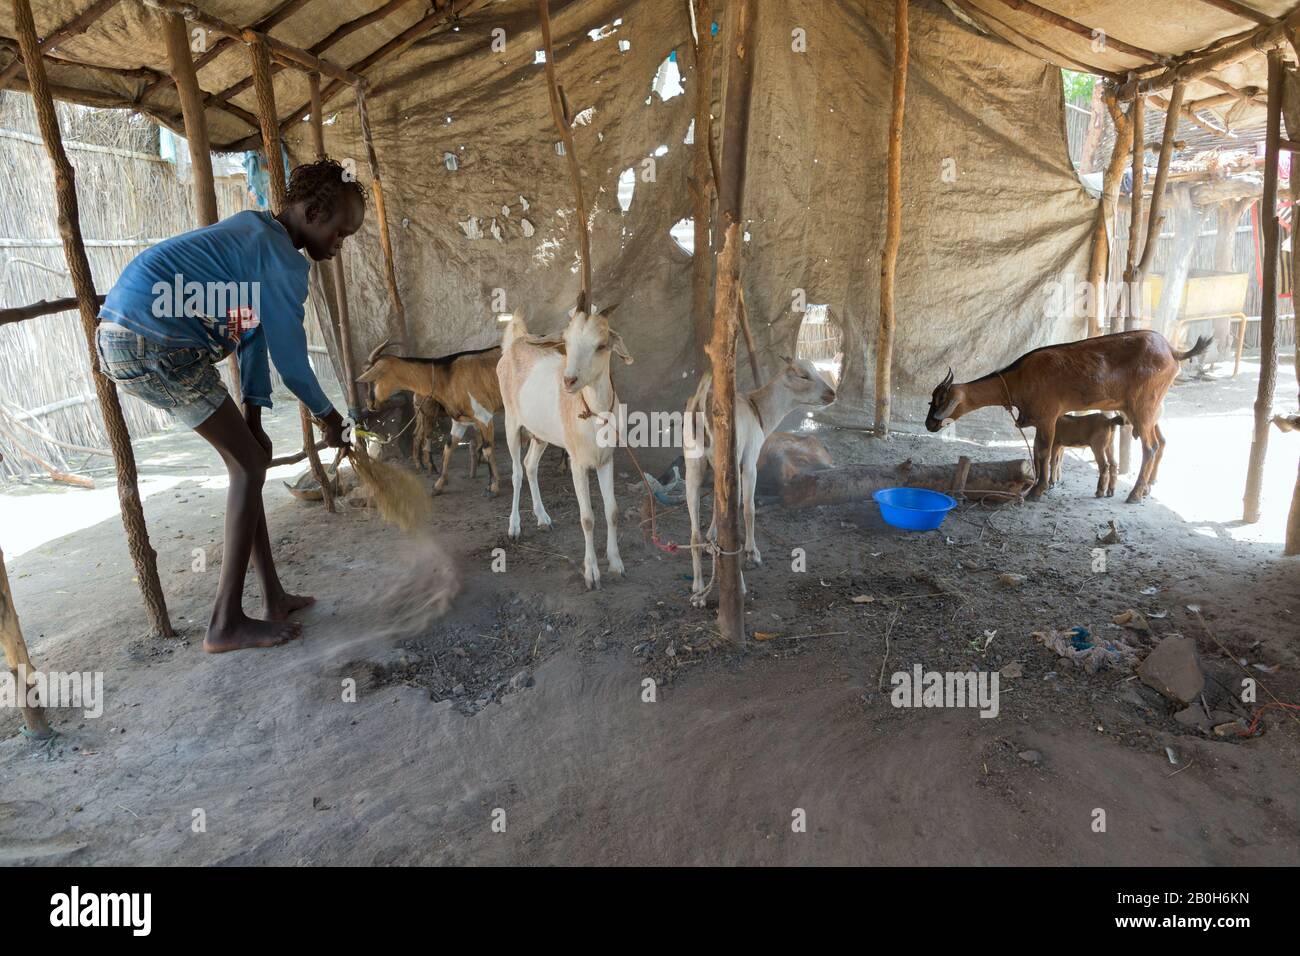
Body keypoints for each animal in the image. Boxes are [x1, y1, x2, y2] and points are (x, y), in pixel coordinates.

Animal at [493, 306, 631, 590]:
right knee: (516, 472)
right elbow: (587, 518)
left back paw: (543, 518)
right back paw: (514, 527)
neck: (592, 414)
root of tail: (515, 342)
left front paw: (616, 564)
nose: (569, 381)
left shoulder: (606, 459)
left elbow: (612, 511)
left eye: (602, 345)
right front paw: (592, 574)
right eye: (566, 343)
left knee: (530, 465)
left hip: (540, 433)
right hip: (511, 421)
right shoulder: (577, 463)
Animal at [681, 358, 842, 606]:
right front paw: (752, 553)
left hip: (693, 467)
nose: (831, 394)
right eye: (803, 375)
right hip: (727, 461)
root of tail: (701, 406)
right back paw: (739, 584)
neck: (758, 410)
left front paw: (711, 540)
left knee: (693, 532)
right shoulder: (748, 461)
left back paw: (698, 590)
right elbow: (748, 508)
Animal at [925, 329, 1206, 504]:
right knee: (1161, 442)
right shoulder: (1040, 420)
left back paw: (1135, 494)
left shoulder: (1048, 416)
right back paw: (1146, 487)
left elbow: (1044, 452)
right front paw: (1041, 485)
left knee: (1151, 447)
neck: (1019, 378)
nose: (929, 424)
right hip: (1149, 409)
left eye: (942, 400)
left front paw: (1038, 490)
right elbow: (1037, 451)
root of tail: (1173, 351)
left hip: (1143, 407)